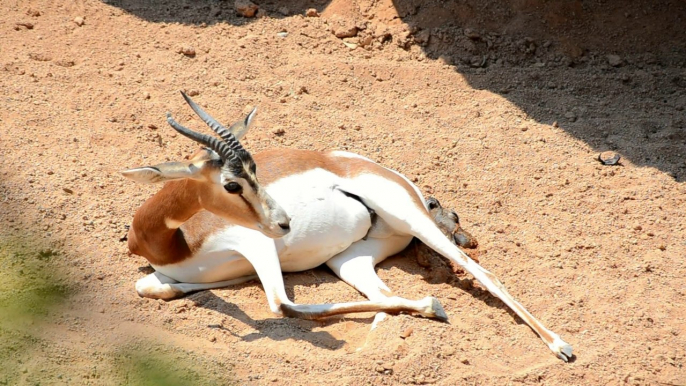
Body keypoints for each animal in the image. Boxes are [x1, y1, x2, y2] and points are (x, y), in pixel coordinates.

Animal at [123, 92, 576, 362]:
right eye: (232, 183)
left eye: (255, 171)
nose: (283, 222)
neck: (172, 240)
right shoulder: (169, 274)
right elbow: (152, 288)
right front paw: (428, 306)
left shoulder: (256, 243)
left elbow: (281, 305)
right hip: (350, 260)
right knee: (384, 295)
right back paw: (408, 315)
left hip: (409, 217)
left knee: (480, 270)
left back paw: (560, 346)